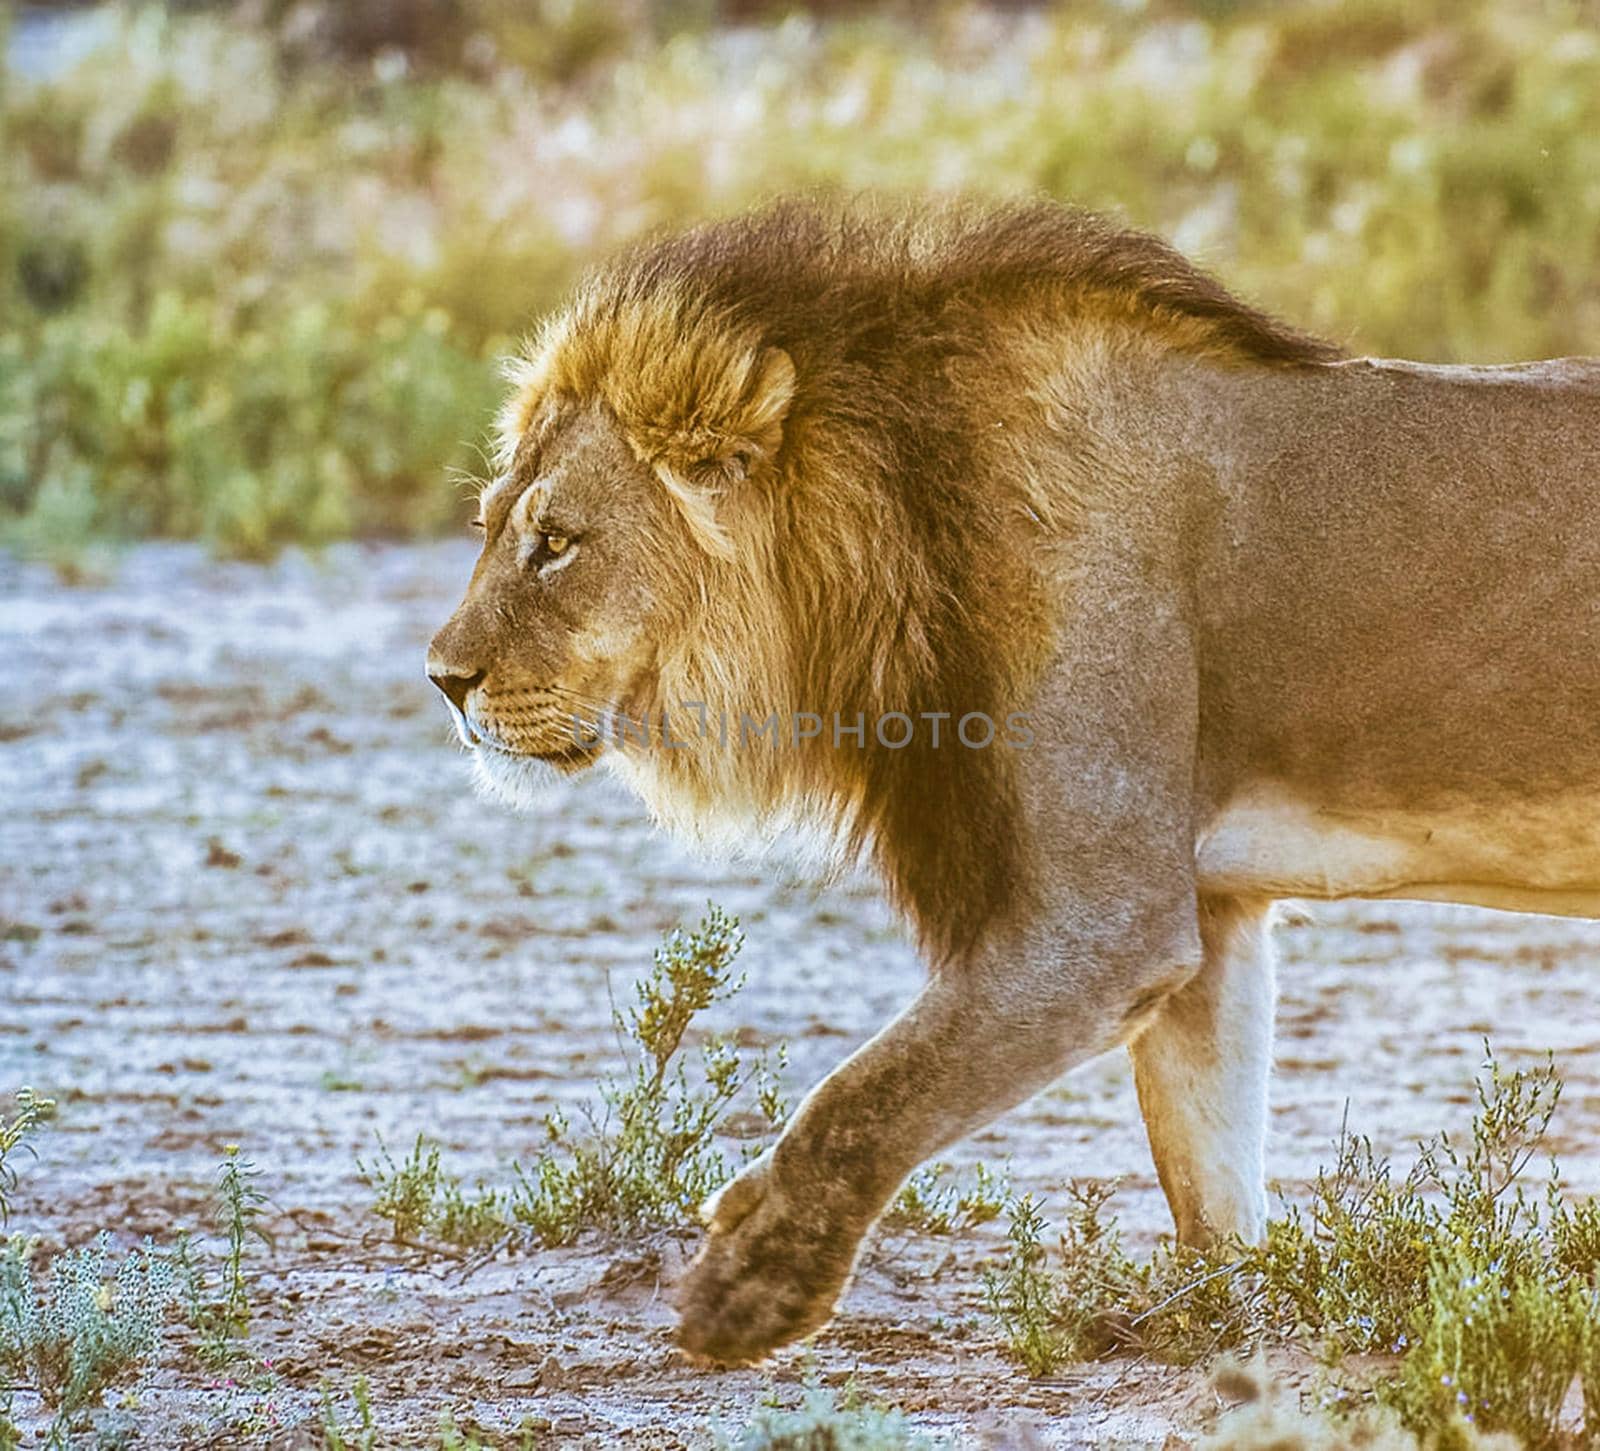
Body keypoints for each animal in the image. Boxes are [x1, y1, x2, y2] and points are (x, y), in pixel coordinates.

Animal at [425, 198, 1600, 1369]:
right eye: (489, 527)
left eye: (556, 543)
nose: (442, 677)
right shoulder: (1208, 913)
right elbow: (1208, 1181)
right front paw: (1223, 1339)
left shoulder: (1104, 923)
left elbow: (870, 1093)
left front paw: (747, 1283)